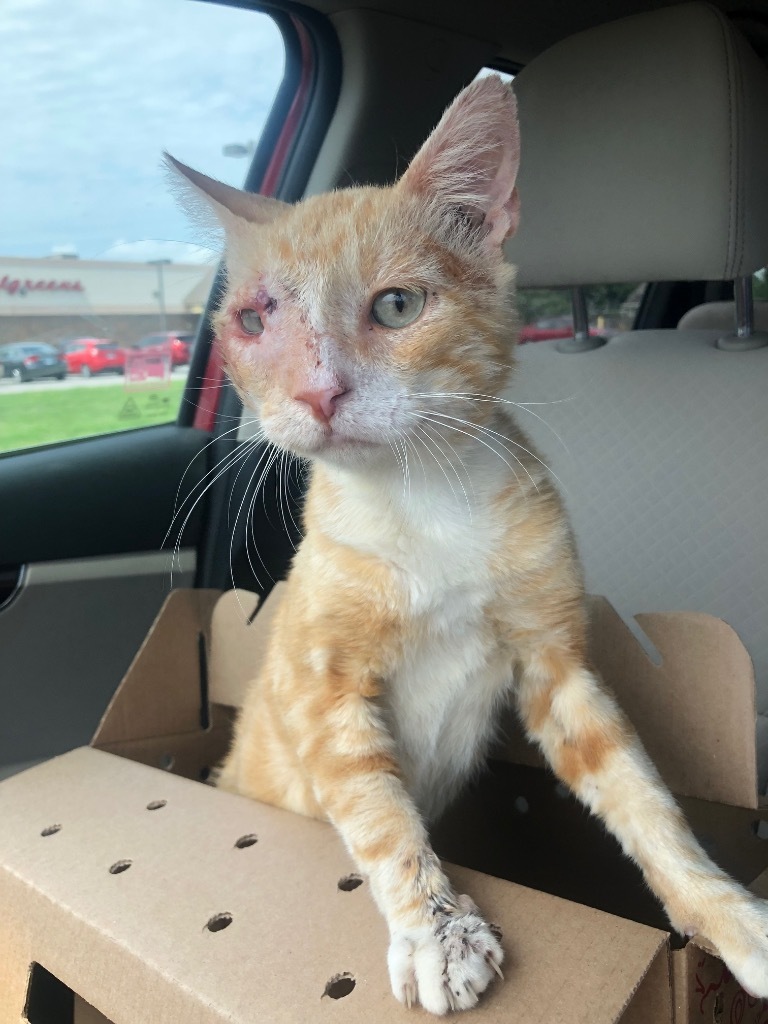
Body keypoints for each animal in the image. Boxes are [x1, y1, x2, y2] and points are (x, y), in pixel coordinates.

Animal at [167, 75, 768, 1011]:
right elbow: (380, 815)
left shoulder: (558, 667)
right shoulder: (320, 694)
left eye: (397, 305)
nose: (317, 392)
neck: (423, 505)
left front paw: (729, 915)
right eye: (255, 320)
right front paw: (435, 932)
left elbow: (646, 799)